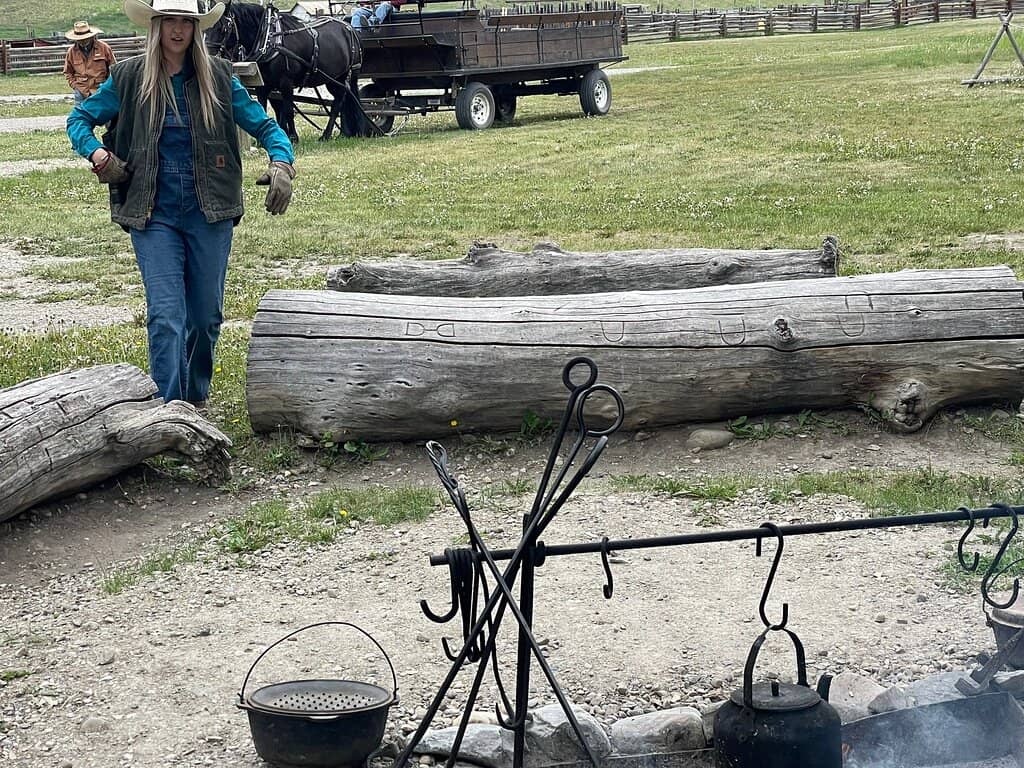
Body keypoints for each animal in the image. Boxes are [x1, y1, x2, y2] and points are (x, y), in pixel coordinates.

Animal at [205, 0, 363, 141]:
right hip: (332, 79)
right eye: (205, 29)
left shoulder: (286, 83)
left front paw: (291, 136)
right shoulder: (263, 85)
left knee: (338, 103)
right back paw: (344, 133)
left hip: (343, 77)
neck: (269, 40)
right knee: (342, 101)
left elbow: (287, 110)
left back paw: (327, 135)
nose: (208, 57)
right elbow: (264, 108)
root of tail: (349, 27)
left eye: (223, 29)